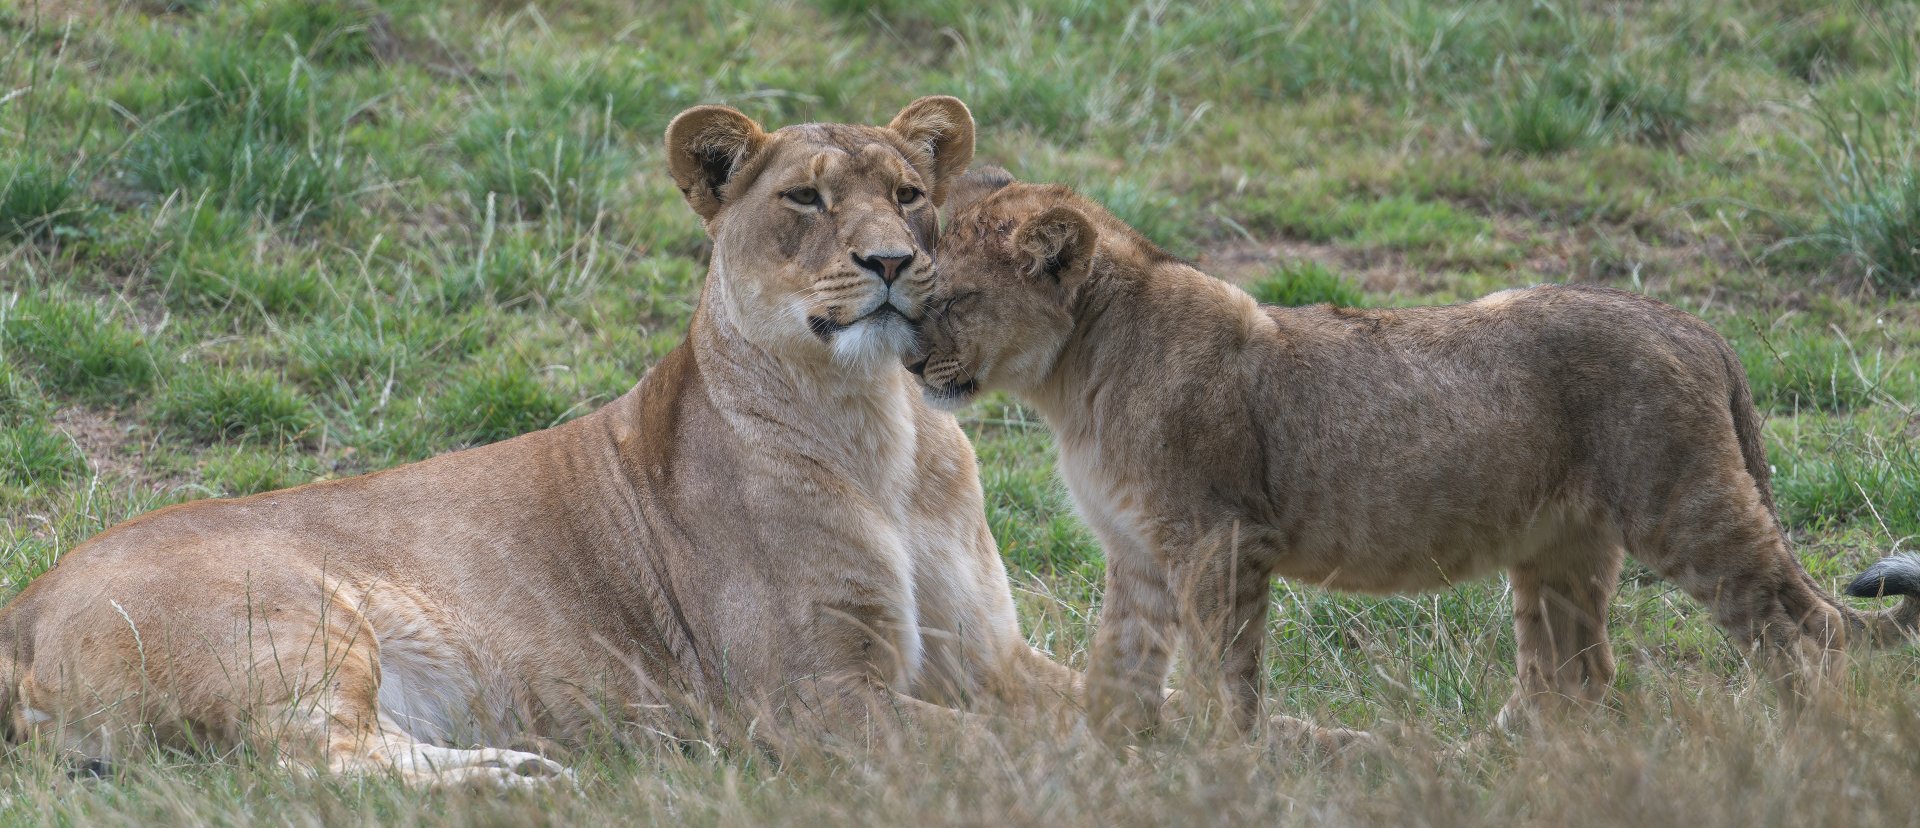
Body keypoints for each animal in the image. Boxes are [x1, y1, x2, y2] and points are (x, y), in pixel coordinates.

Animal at [0, 100, 1083, 785]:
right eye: (806, 201)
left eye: (908, 195)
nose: (892, 260)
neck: (881, 427)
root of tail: (26, 603)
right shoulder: (806, 698)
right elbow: (1001, 748)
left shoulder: (989, 654)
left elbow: (1106, 704)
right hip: (293, 625)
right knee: (308, 768)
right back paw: (511, 781)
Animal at [905, 170, 1920, 739]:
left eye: (947, 300)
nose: (910, 363)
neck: (1072, 378)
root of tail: (1696, 325)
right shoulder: (1140, 553)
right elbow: (1117, 667)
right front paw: (1107, 765)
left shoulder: (1219, 540)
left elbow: (1222, 673)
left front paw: (1219, 764)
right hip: (1560, 551)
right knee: (1579, 675)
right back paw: (1506, 759)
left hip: (1688, 508)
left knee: (1799, 631)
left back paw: (1800, 748)